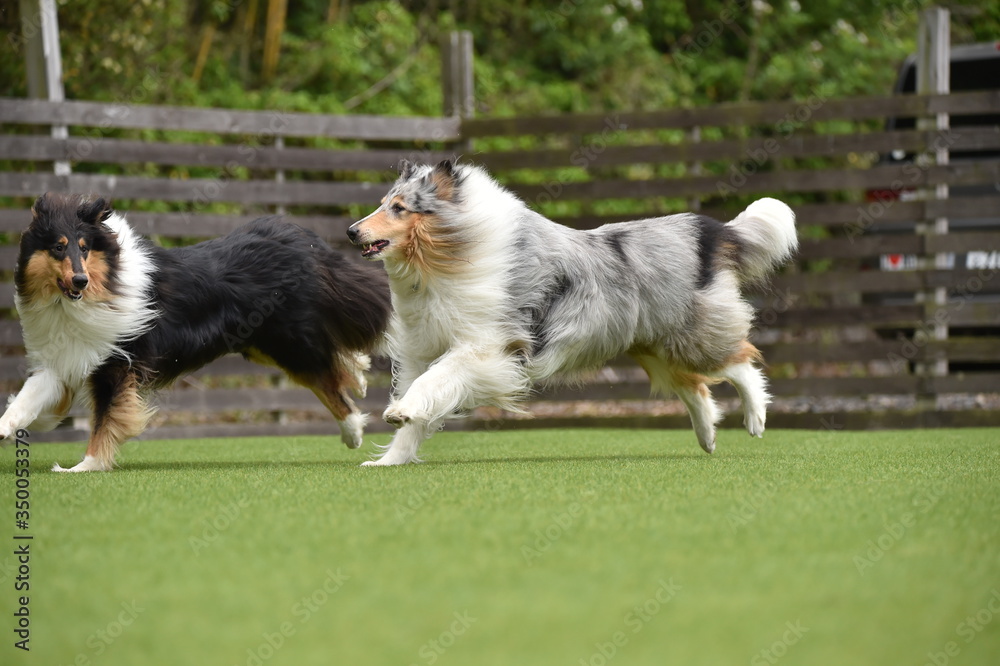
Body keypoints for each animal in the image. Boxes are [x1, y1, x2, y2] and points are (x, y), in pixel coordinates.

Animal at [0, 195, 390, 470]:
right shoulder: (62, 359)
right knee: (334, 365)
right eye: (57, 246)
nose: (80, 280)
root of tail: (298, 240)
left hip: (288, 341)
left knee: (328, 376)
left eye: (84, 248)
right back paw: (359, 382)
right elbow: (28, 398)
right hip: (262, 343)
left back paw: (354, 430)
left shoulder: (116, 364)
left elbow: (104, 422)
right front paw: (9, 427)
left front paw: (85, 466)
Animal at [348, 161, 800, 464]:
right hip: (652, 346)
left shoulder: (486, 348)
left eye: (399, 208)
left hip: (689, 338)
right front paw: (389, 460)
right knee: (696, 388)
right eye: (383, 203)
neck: (444, 256)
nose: (352, 231)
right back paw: (707, 437)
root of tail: (709, 232)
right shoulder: (421, 349)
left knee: (740, 360)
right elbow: (420, 397)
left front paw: (398, 413)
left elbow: (435, 382)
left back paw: (756, 417)